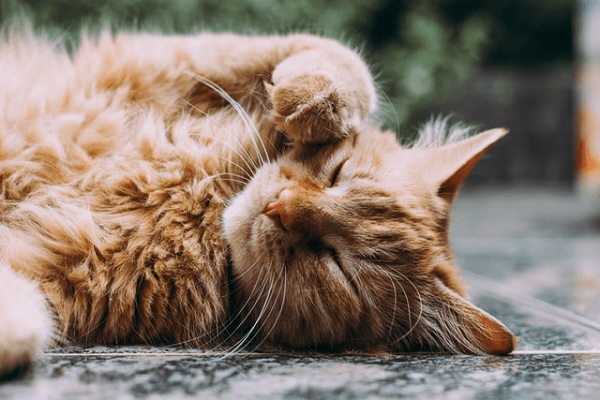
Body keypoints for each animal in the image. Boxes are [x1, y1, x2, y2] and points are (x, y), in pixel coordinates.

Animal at [0, 25, 516, 378]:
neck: (205, 199)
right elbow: (340, 59)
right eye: (337, 174)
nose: (279, 208)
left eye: (339, 267)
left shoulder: (60, 277)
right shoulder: (155, 65)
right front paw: (311, 102)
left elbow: (28, 318)